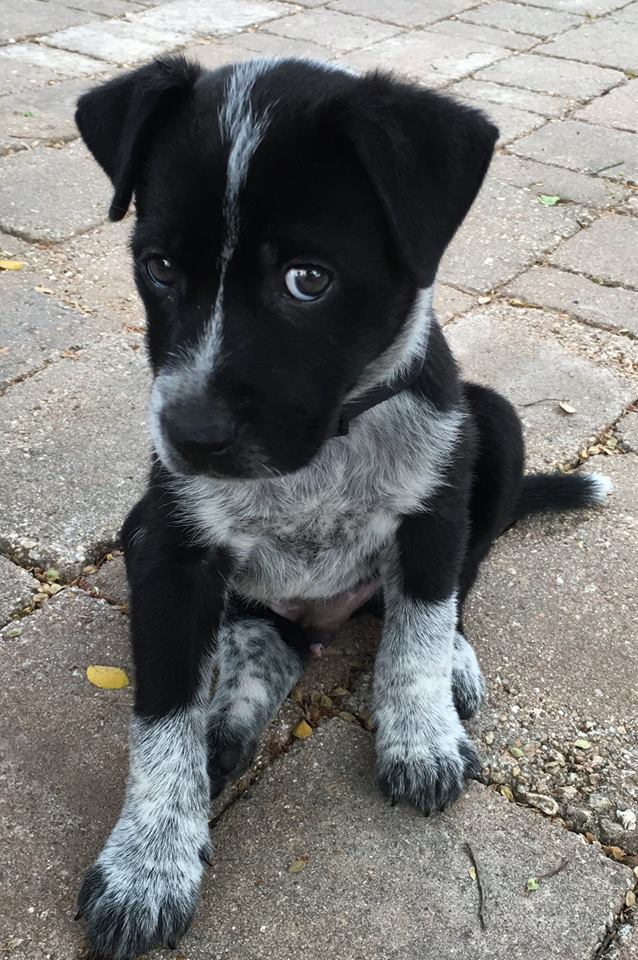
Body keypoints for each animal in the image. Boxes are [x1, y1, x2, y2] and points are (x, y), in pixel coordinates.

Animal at [72, 56, 612, 956]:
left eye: (309, 280)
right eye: (159, 268)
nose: (189, 436)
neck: (328, 450)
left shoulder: (433, 513)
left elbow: (419, 630)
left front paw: (420, 731)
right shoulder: (168, 547)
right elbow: (162, 714)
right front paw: (148, 865)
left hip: (493, 421)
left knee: (450, 592)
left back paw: (448, 667)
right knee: (265, 636)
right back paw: (232, 709)